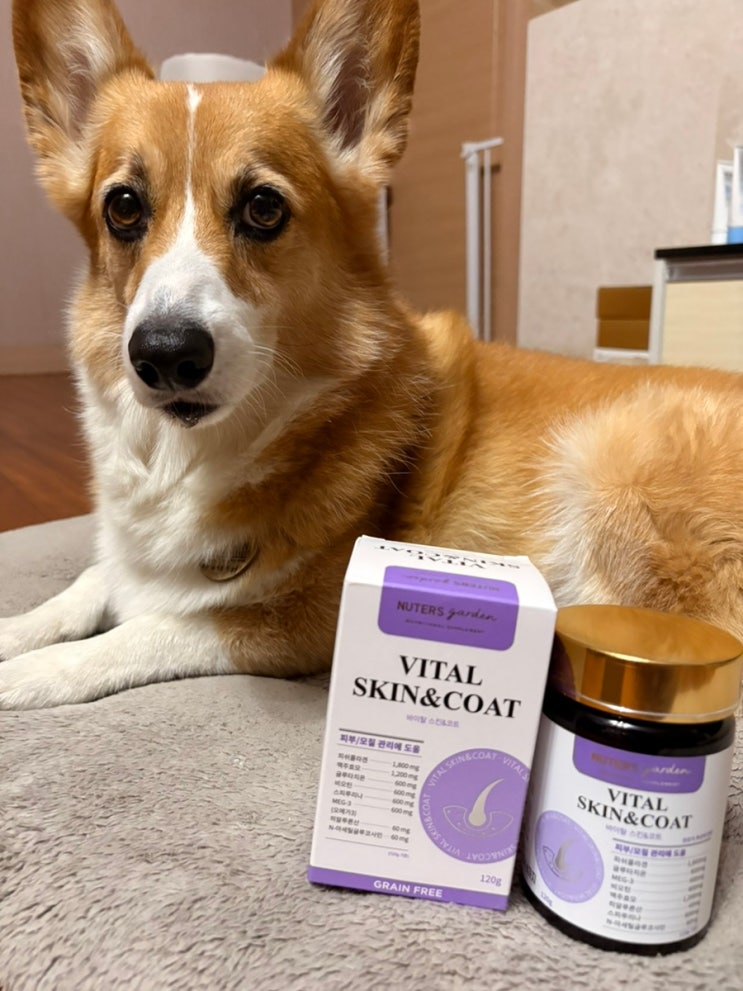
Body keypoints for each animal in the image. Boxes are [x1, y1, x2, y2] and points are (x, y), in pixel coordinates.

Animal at [2, 0, 742, 710]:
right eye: (124, 208)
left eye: (263, 207)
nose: (165, 354)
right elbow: (91, 579)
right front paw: (18, 630)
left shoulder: (297, 621)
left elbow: (150, 626)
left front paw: (36, 672)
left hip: (611, 466)